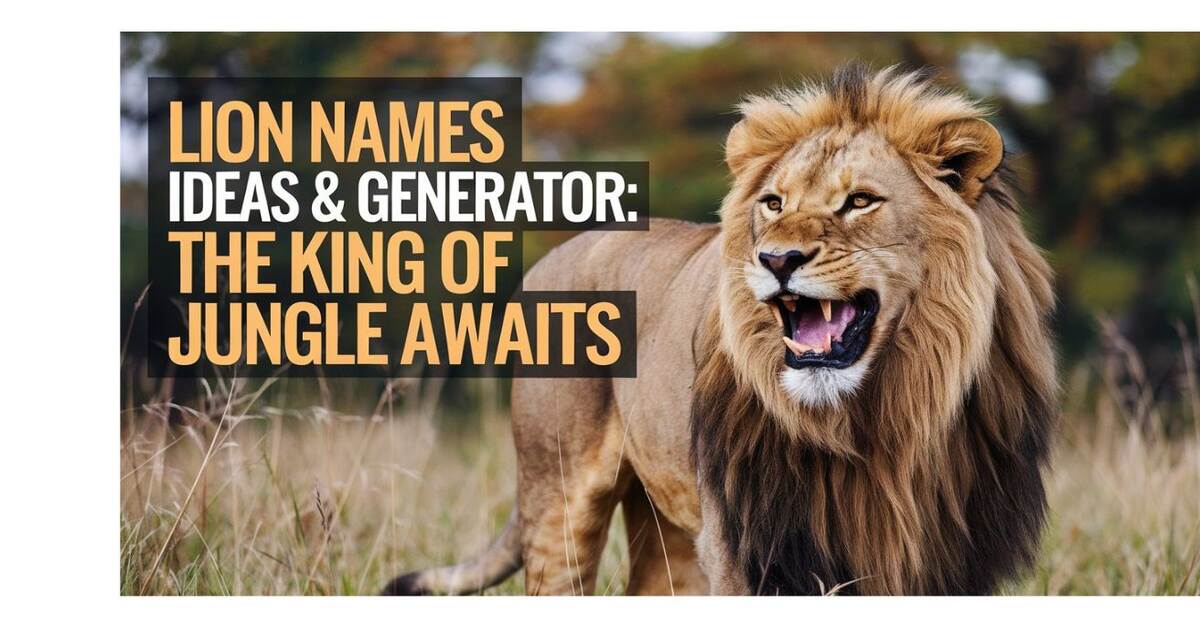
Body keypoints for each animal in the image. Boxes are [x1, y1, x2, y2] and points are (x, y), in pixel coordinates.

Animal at [383, 65, 1058, 596]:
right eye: (774, 203)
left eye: (861, 201)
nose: (777, 259)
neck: (882, 420)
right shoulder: (742, 548)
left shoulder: (953, 555)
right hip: (559, 493)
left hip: (666, 527)